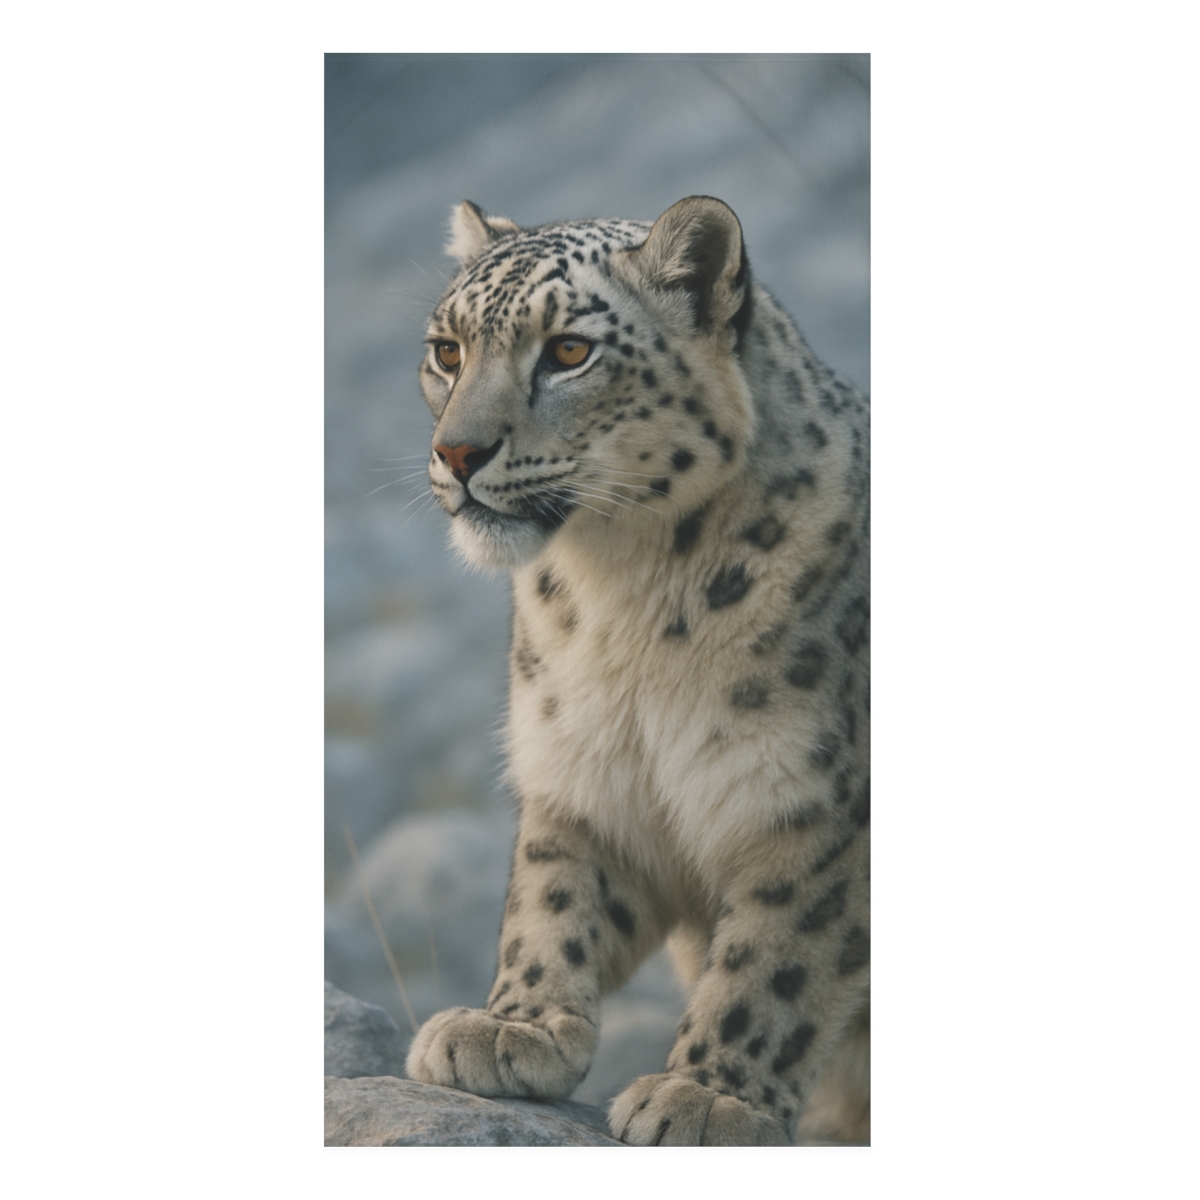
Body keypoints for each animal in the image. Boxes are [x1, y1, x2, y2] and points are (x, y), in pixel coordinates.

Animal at [404, 196, 869, 1146]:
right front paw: (509, 1028)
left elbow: (778, 959)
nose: (458, 453)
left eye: (568, 352)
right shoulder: (583, 772)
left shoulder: (819, 811)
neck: (625, 599)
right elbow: (552, 900)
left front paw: (708, 1096)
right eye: (448, 350)